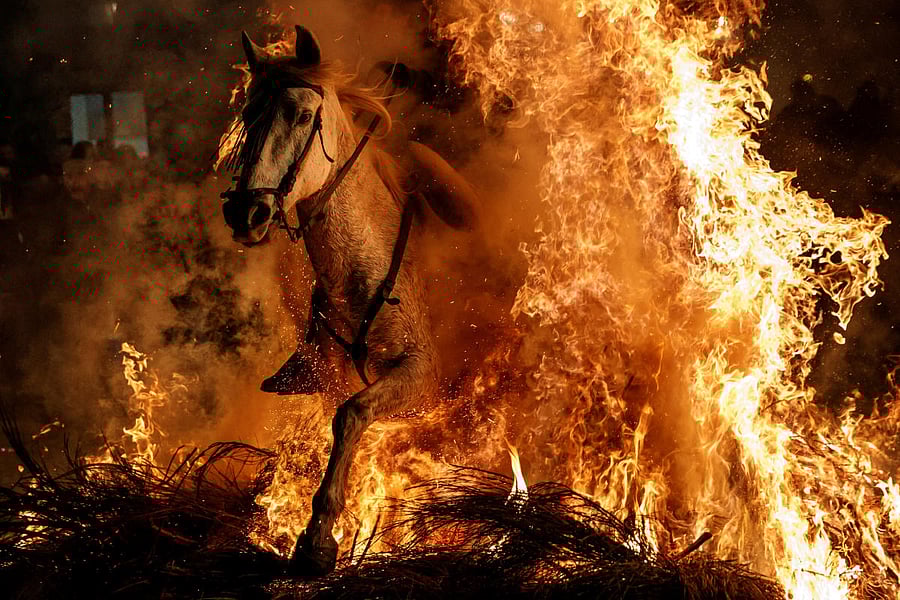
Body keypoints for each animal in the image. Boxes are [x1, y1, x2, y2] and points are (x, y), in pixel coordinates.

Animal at [219, 25, 480, 575]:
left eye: (301, 115)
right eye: (248, 115)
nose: (246, 213)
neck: (367, 269)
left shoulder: (421, 379)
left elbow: (352, 416)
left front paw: (318, 538)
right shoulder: (327, 382)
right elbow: (337, 433)